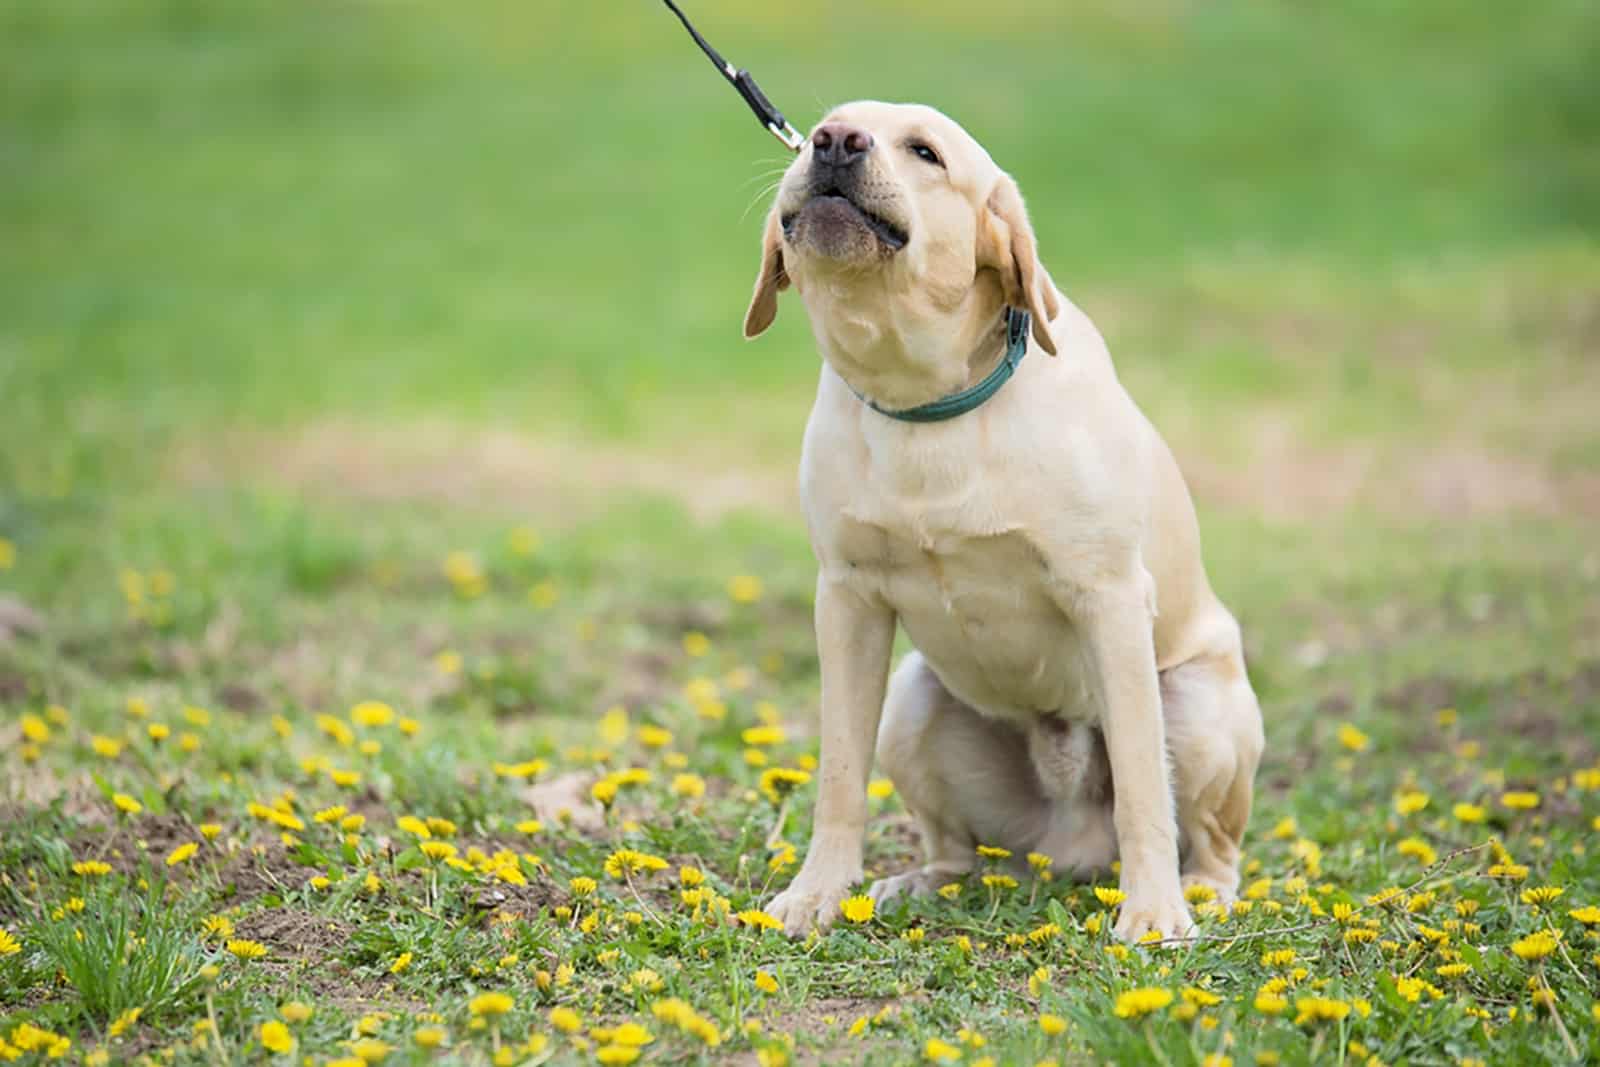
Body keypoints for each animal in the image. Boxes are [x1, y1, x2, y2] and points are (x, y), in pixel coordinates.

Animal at [745, 97, 1260, 934]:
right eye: (825, 127)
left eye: (925, 152)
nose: (832, 143)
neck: (927, 403)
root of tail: (1069, 849)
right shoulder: (847, 597)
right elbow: (840, 776)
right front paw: (819, 891)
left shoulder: (1110, 599)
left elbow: (1143, 789)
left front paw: (1153, 912)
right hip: (912, 703)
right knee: (960, 849)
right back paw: (924, 881)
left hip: (1200, 711)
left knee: (1210, 838)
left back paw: (1201, 892)